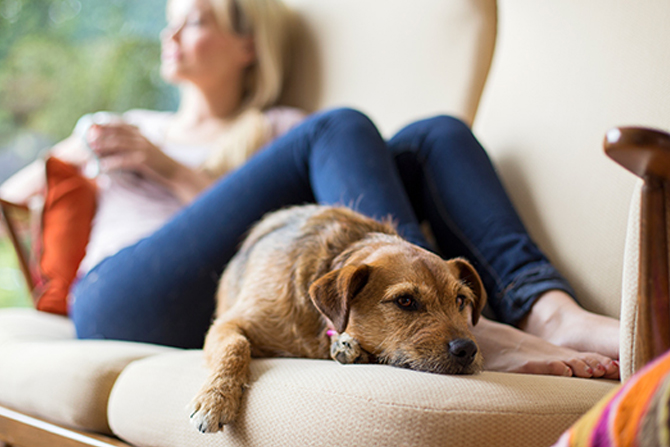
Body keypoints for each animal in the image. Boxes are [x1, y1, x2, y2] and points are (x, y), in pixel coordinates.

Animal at [189, 206, 488, 434]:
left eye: (460, 300)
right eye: (405, 301)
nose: (467, 349)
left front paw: (349, 347)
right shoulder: (228, 323)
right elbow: (236, 347)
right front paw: (217, 398)